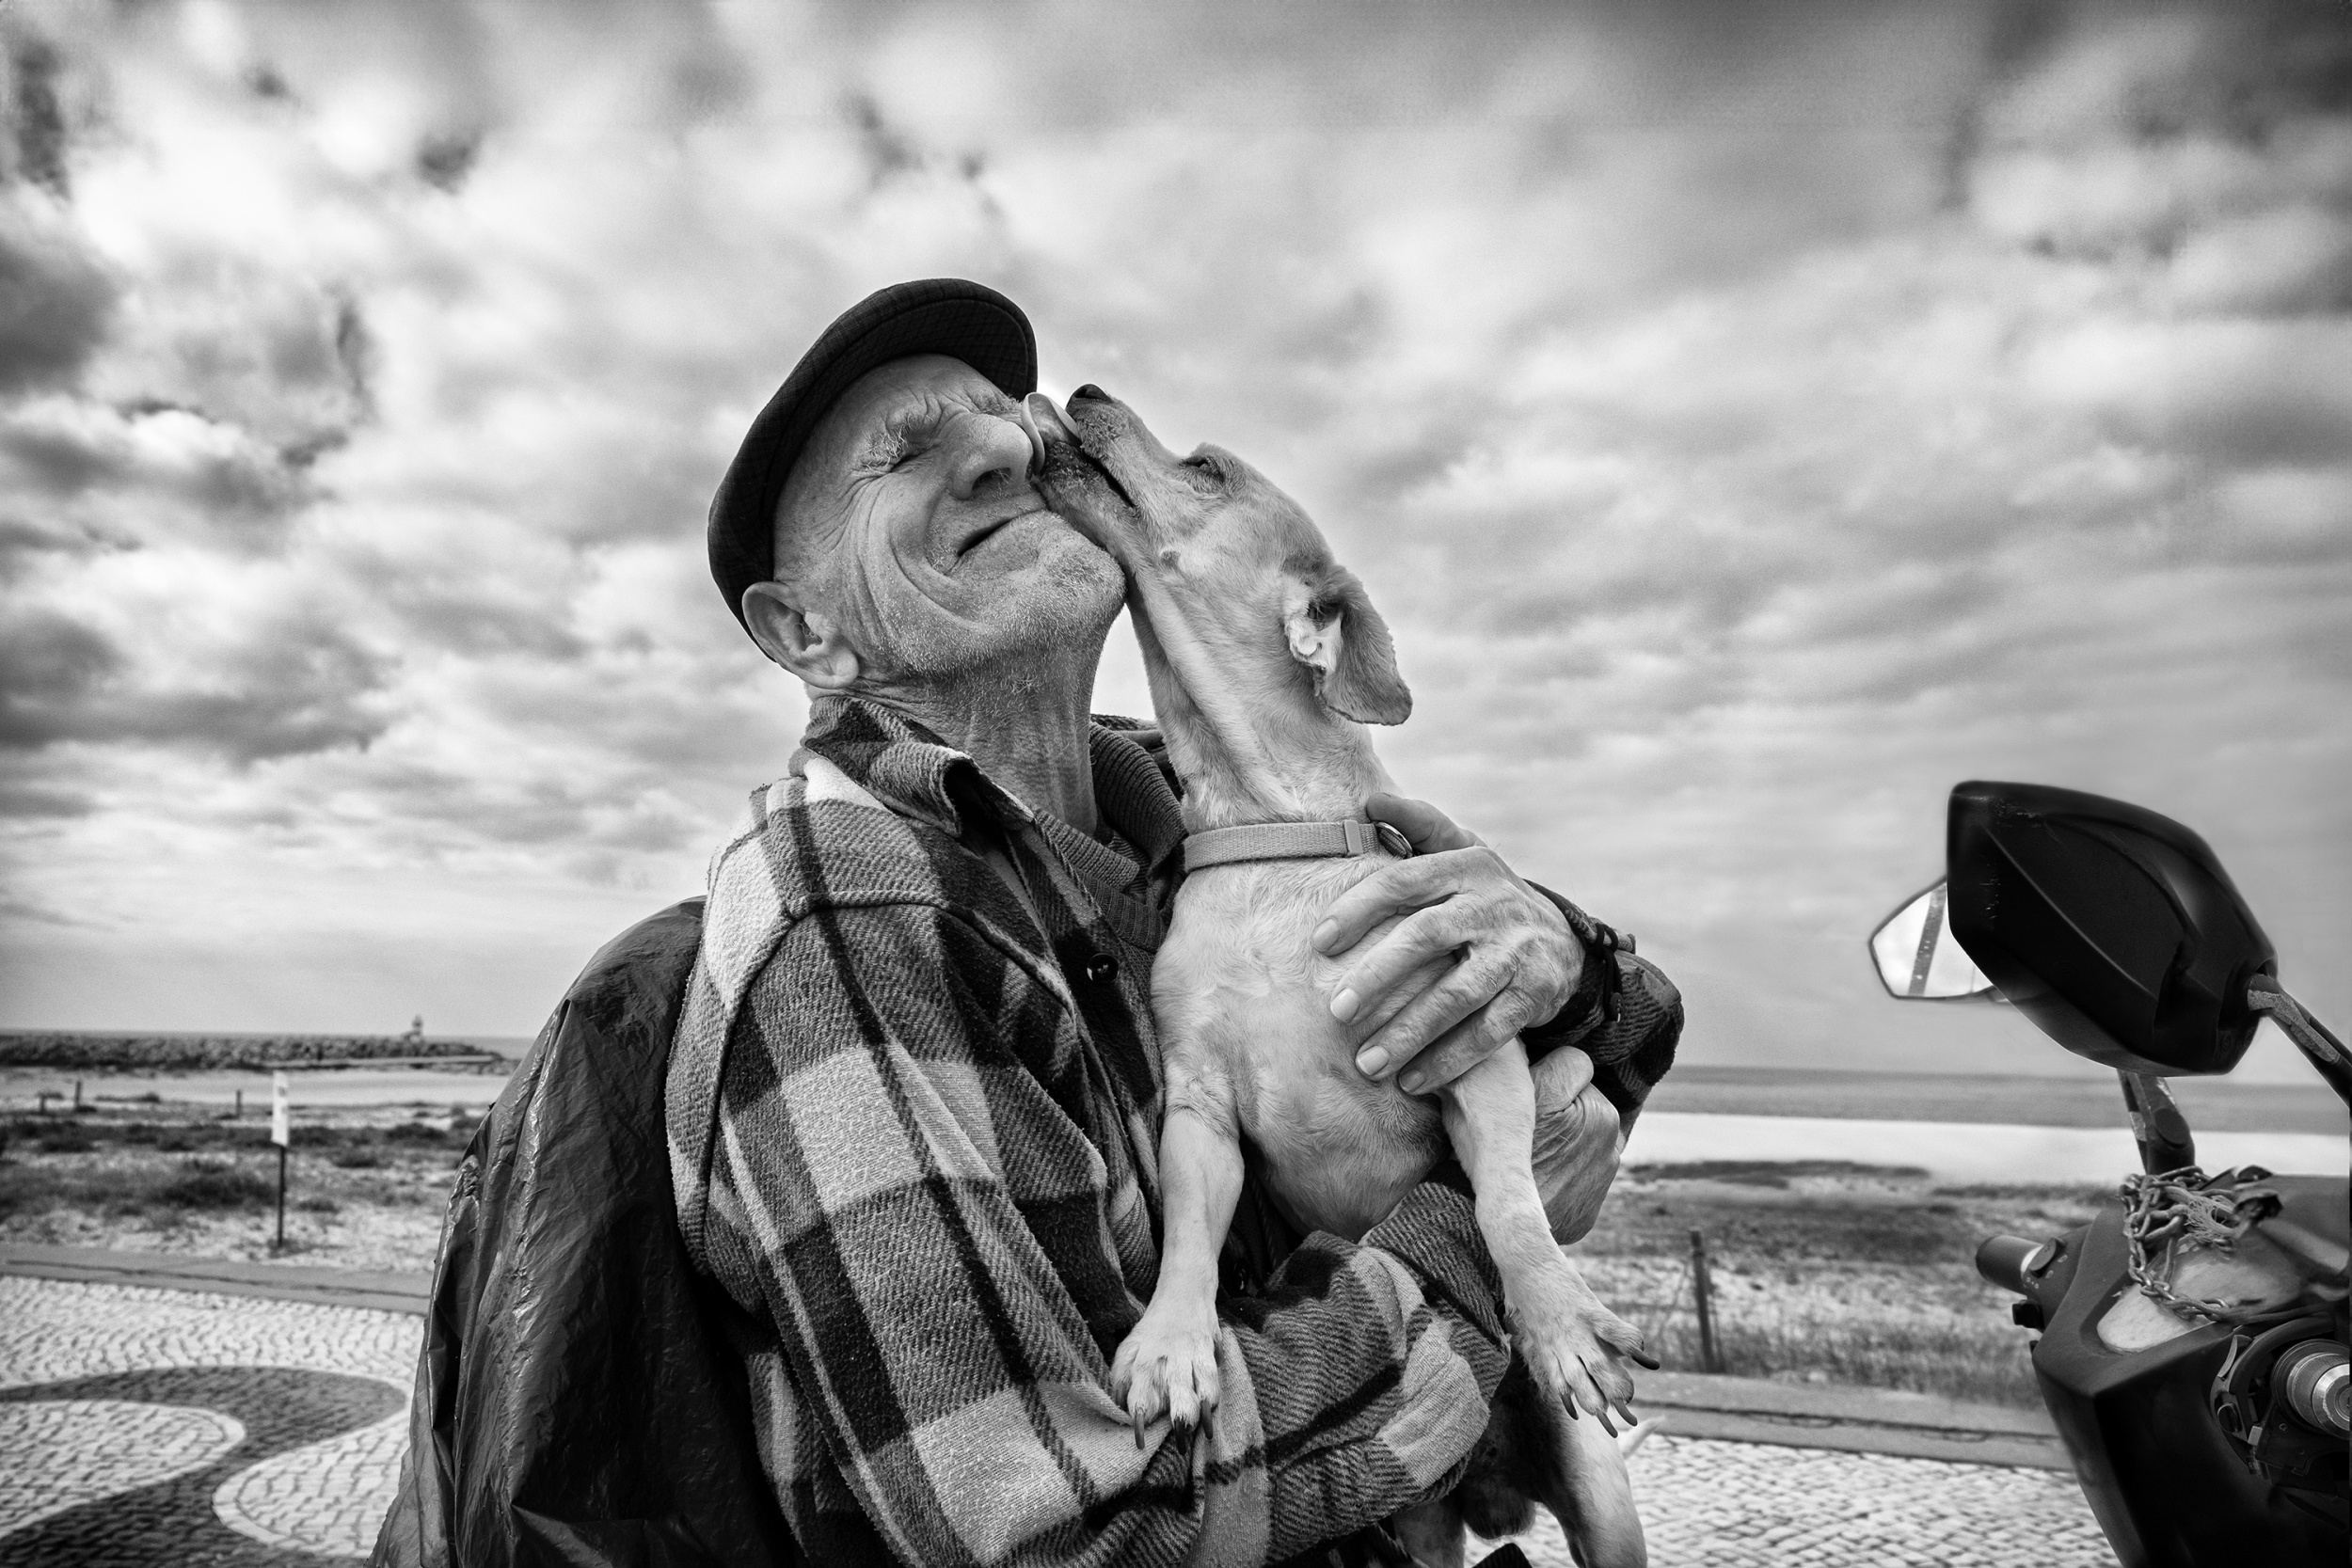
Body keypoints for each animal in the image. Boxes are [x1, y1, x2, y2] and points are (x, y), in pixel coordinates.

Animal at [1029, 385, 1653, 1568]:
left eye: (1209, 468)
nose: (1080, 390)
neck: (1272, 839)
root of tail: (1483, 1486)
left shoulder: (1472, 1058)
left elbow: (1508, 1204)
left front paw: (1556, 1316)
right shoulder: (1202, 1112)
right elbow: (1189, 1238)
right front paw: (1172, 1340)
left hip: (1603, 1506)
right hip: (1412, 1525)